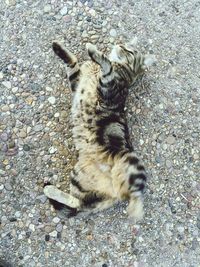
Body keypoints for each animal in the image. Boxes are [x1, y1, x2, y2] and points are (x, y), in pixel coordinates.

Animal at [44, 38, 155, 221]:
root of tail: (114, 194)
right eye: (125, 45)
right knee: (77, 204)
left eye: (129, 51)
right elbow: (72, 62)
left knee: (135, 195)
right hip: (79, 177)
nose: (119, 45)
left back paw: (136, 210)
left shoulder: (108, 89)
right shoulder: (76, 82)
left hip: (131, 161)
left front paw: (94, 51)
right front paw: (59, 49)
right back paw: (50, 189)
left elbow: (105, 64)